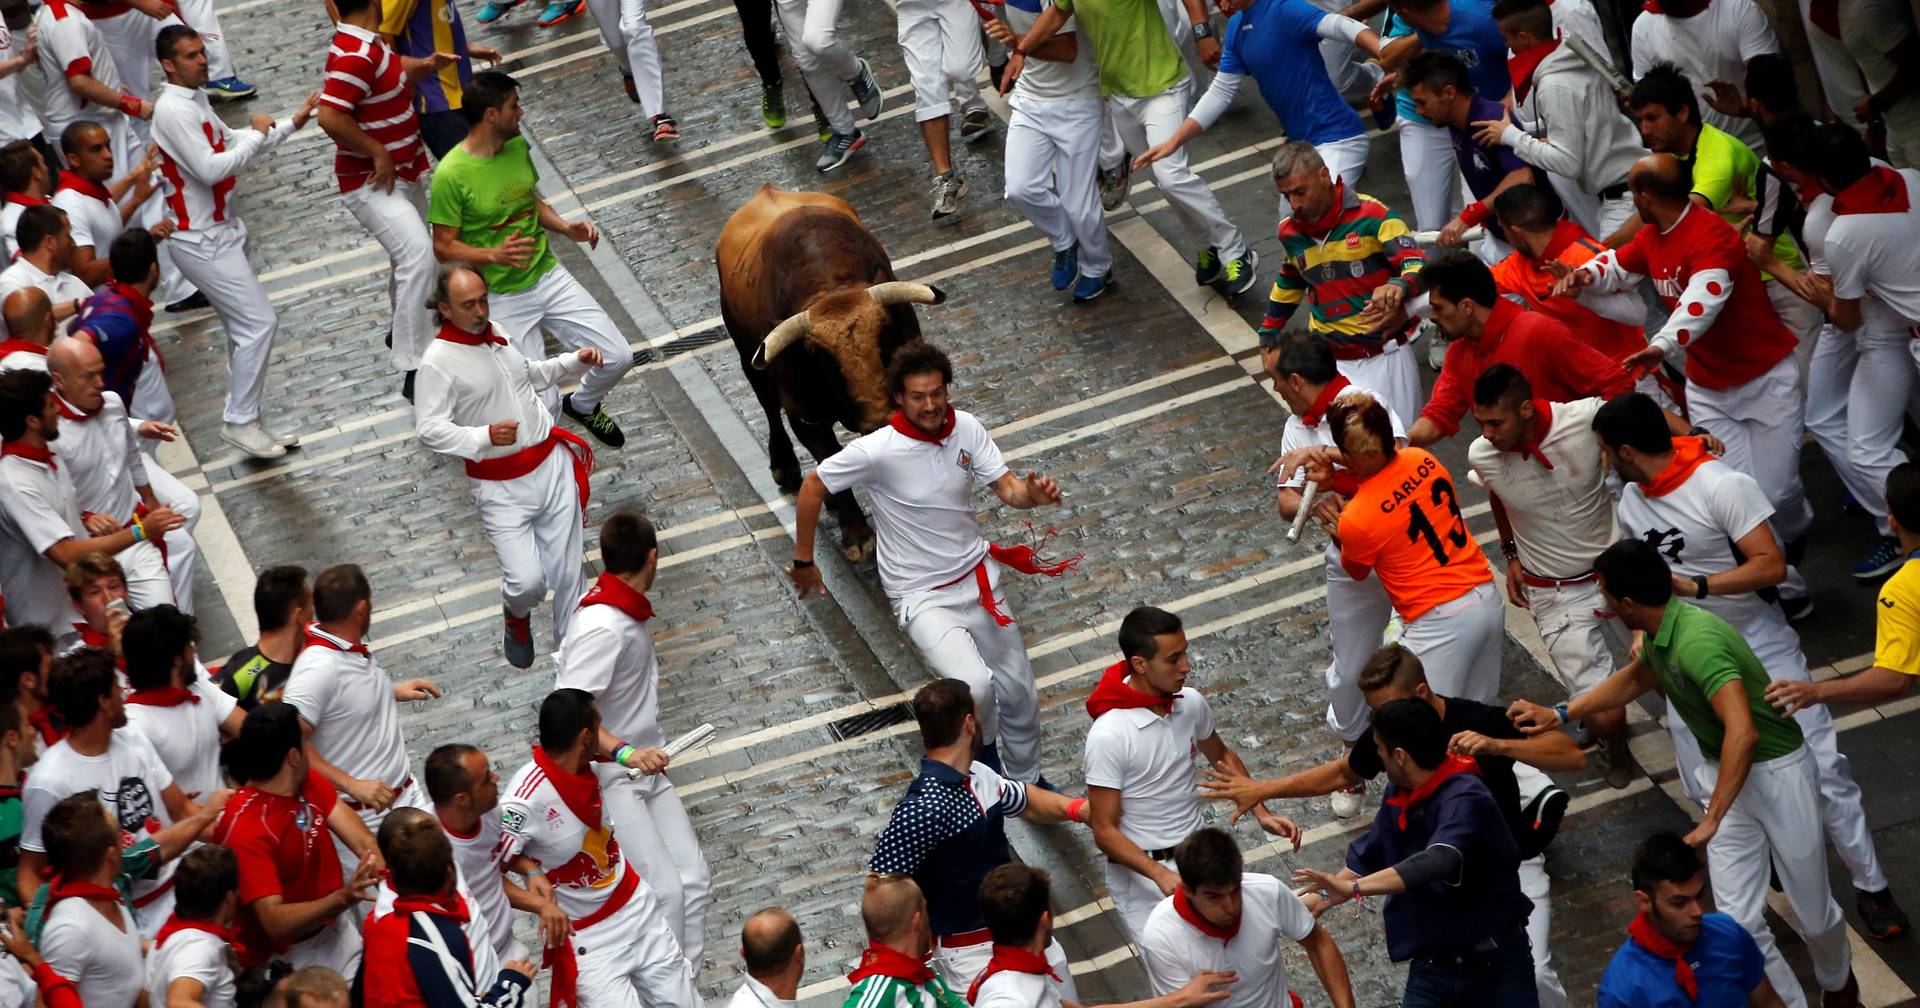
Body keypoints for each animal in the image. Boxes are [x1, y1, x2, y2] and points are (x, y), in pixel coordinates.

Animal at [718, 181, 948, 556]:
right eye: (821, 359)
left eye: (886, 336)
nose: (879, 419)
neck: (830, 285)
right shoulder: (804, 416)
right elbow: (828, 461)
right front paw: (856, 533)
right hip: (749, 361)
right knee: (768, 407)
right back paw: (785, 467)